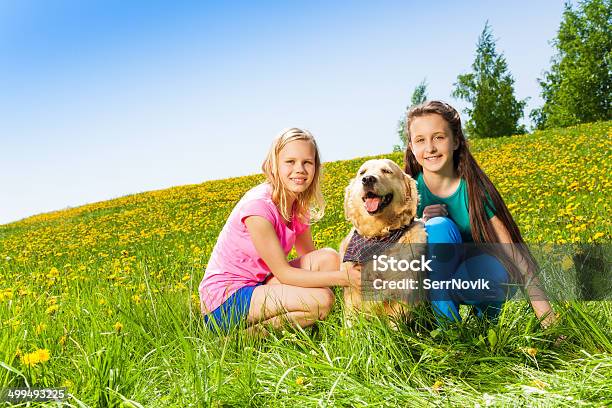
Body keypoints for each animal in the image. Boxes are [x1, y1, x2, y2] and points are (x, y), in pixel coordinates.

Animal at [340, 159, 426, 322]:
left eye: (386, 171)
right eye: (362, 172)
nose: (367, 179)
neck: (378, 236)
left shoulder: (401, 294)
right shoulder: (351, 295)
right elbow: (350, 324)